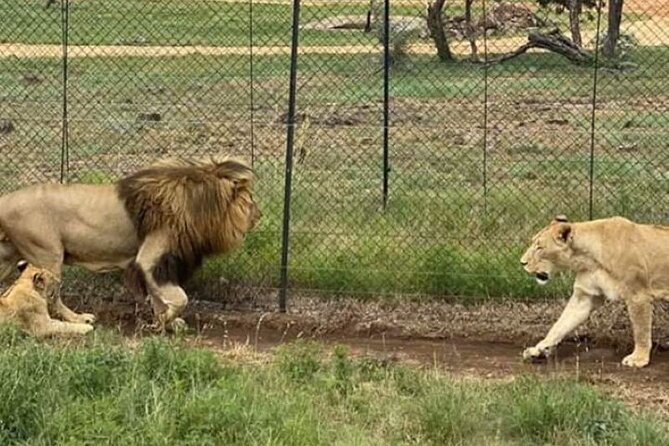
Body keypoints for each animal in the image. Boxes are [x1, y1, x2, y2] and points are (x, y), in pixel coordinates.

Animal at [0, 156, 260, 332]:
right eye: (250, 201)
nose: (260, 214)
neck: (195, 206)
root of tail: (5, 199)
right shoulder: (152, 256)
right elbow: (180, 298)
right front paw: (163, 322)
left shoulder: (155, 262)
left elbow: (158, 295)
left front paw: (164, 321)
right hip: (48, 255)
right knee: (53, 296)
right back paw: (79, 319)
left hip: (8, 256)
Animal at [520, 215, 669, 368]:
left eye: (539, 247)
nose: (522, 262)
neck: (587, 258)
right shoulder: (585, 296)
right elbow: (561, 324)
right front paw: (538, 349)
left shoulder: (637, 294)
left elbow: (641, 330)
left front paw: (639, 359)